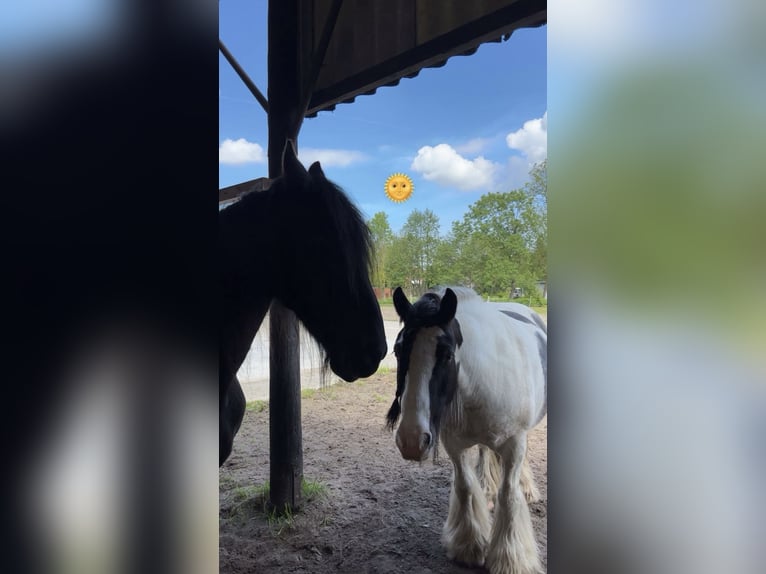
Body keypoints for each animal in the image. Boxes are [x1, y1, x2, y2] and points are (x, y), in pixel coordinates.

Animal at [387, 286, 546, 574]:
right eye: (397, 350)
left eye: (447, 354)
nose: (411, 441)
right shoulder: (454, 444)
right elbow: (464, 487)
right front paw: (469, 546)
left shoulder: (515, 442)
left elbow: (509, 495)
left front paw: (510, 559)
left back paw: (526, 488)